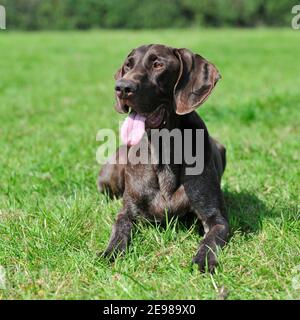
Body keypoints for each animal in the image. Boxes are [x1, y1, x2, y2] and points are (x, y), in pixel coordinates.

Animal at [97, 43, 229, 272]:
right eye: (128, 65)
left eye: (158, 65)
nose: (121, 87)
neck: (163, 147)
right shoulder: (127, 212)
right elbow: (119, 228)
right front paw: (110, 252)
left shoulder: (216, 218)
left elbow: (210, 239)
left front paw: (203, 260)